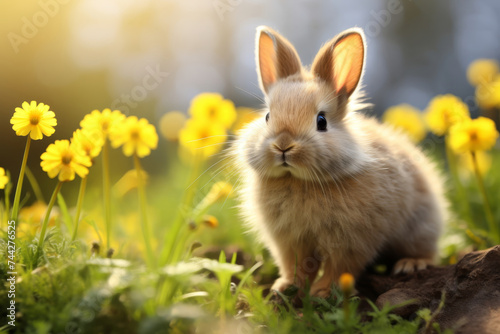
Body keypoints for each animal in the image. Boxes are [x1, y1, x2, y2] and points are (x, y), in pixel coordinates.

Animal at [232, 26, 448, 298]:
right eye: (268, 116)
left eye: (321, 121)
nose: (283, 145)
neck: (299, 180)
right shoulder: (289, 240)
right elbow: (296, 264)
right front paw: (286, 287)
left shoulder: (351, 240)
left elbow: (340, 266)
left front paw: (323, 292)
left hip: (420, 226)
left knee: (427, 252)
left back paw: (410, 264)